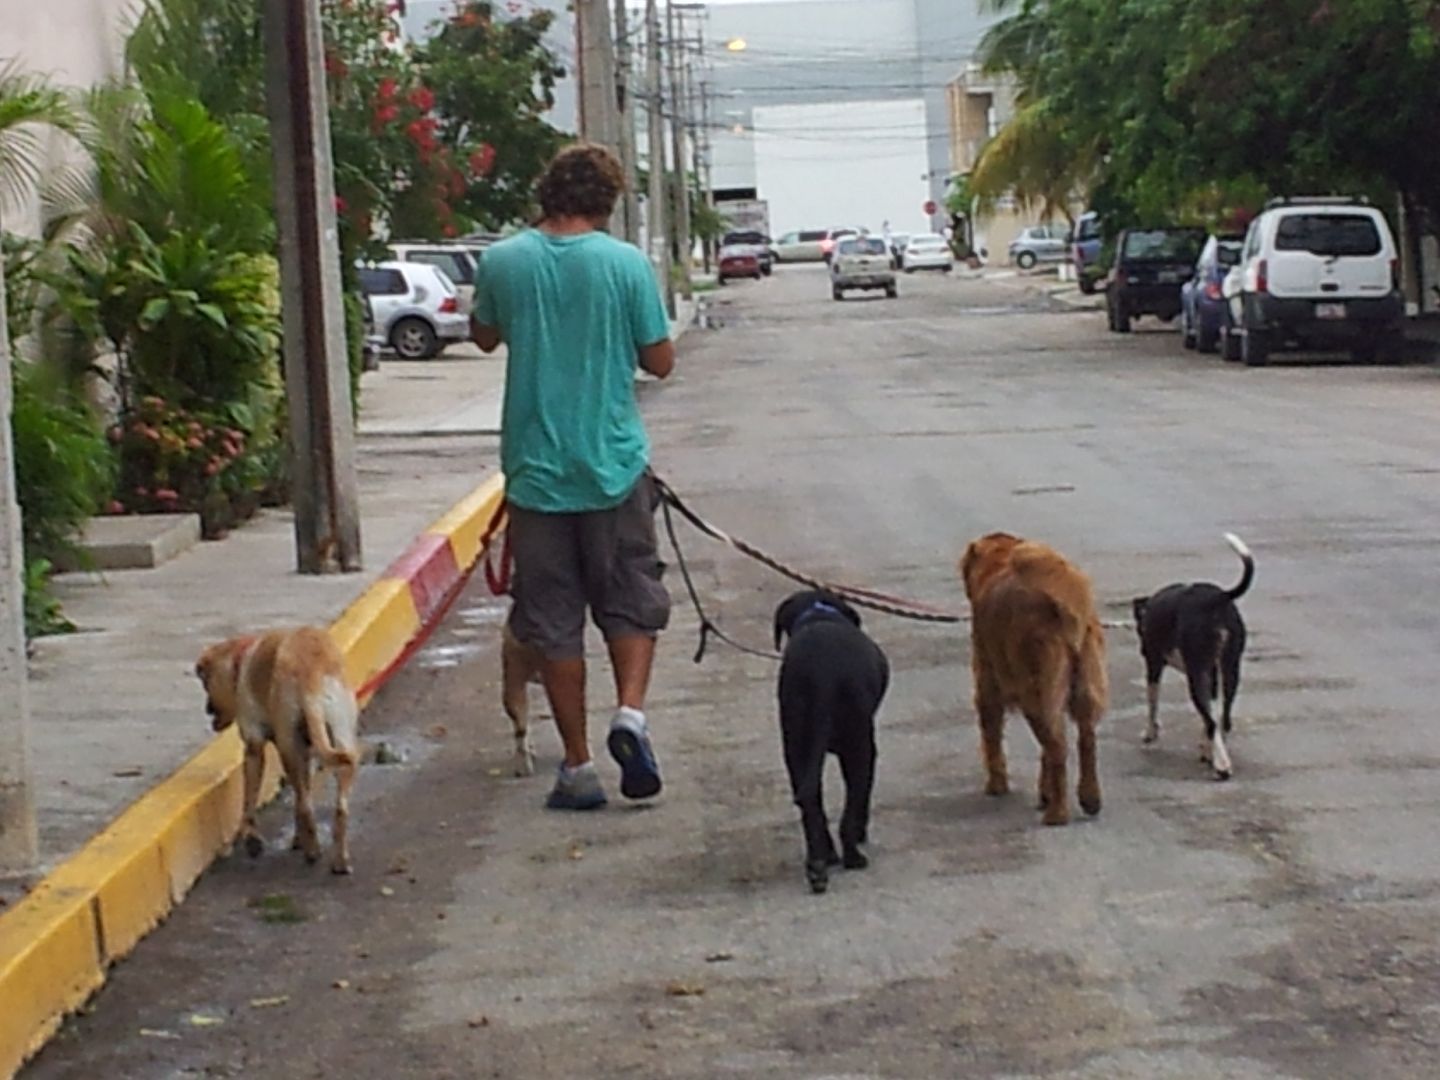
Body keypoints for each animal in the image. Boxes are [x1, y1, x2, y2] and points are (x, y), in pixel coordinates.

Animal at [197, 630, 360, 875]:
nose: (207, 709)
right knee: (337, 807)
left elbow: (250, 798)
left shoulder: (254, 748)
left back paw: (312, 851)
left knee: (305, 806)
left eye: (206, 682)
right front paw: (297, 838)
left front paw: (252, 838)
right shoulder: (306, 752)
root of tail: (311, 671)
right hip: (340, 737)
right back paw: (339, 859)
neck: (240, 660)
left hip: (289, 747)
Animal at [777, 593, 887, 898]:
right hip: (859, 744)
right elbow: (860, 796)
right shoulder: (866, 748)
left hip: (795, 747)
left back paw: (819, 863)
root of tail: (820, 676)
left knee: (811, 805)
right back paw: (852, 856)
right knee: (850, 807)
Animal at [961, 535, 1105, 829]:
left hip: (1036, 691)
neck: (999, 563)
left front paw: (997, 785)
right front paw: (1044, 792)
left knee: (1058, 748)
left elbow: (992, 738)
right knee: (1085, 740)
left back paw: (1057, 814)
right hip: (1082, 686)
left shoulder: (987, 684)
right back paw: (1089, 798)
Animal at [1134, 538, 1249, 783]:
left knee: (1214, 721)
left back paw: (1222, 767)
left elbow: (1152, 702)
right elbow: (1211, 715)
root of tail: (1218, 598)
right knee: (1223, 720)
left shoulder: (1153, 664)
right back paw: (1217, 756)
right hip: (1230, 668)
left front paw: (1150, 733)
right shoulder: (1211, 675)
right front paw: (1205, 747)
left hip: (1195, 673)